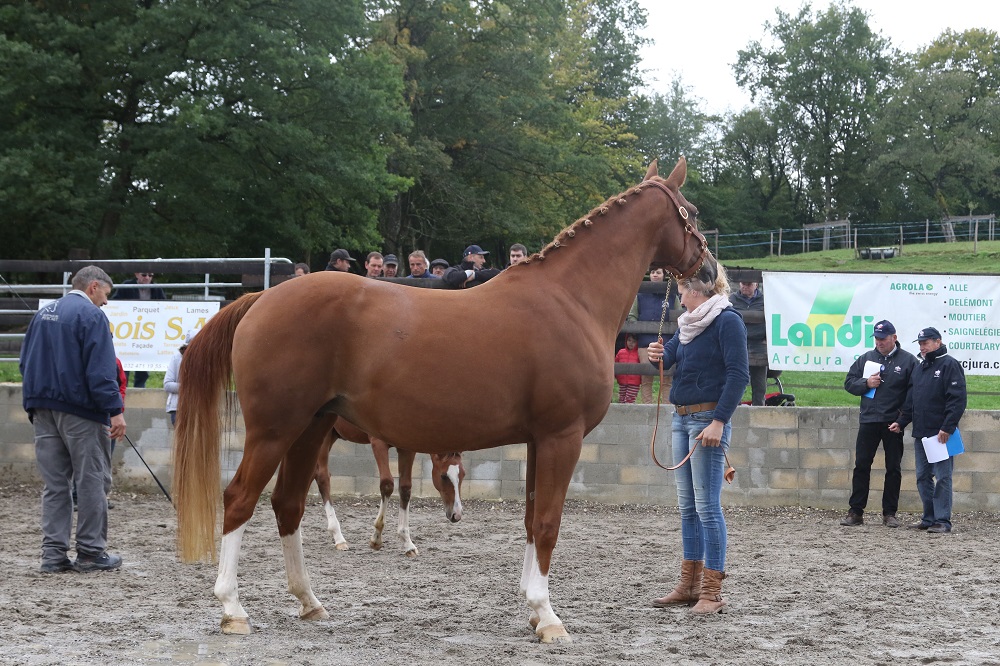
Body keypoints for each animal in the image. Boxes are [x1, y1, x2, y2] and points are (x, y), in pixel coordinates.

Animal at [313, 417, 464, 556]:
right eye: (443, 476)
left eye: (463, 474)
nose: (456, 515)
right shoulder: (378, 442)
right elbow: (387, 484)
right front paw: (376, 540)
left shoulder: (407, 448)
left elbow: (405, 488)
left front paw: (407, 543)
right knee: (322, 477)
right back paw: (339, 538)